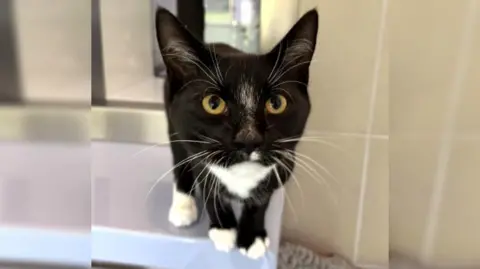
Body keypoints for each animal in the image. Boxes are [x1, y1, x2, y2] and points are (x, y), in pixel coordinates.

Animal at [155, 7, 318, 258]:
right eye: (213, 103)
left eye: (276, 103)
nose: (249, 139)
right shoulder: (197, 152)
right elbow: (207, 183)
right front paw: (224, 229)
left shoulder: (285, 163)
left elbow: (262, 198)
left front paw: (252, 236)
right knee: (180, 158)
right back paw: (183, 206)